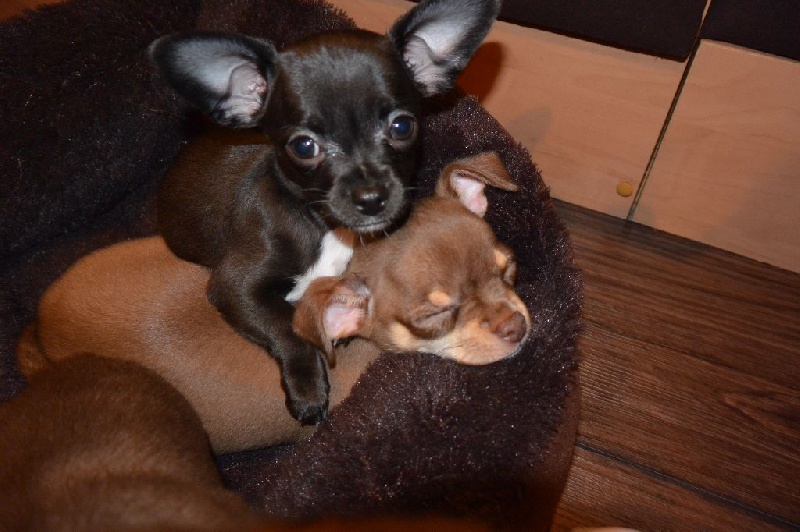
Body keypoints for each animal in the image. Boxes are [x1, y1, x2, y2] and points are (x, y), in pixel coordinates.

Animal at [149, 0, 501, 424]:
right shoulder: (235, 287)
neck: (326, 227)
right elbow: (286, 328)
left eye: (402, 126)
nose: (371, 197)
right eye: (304, 147)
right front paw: (308, 389)